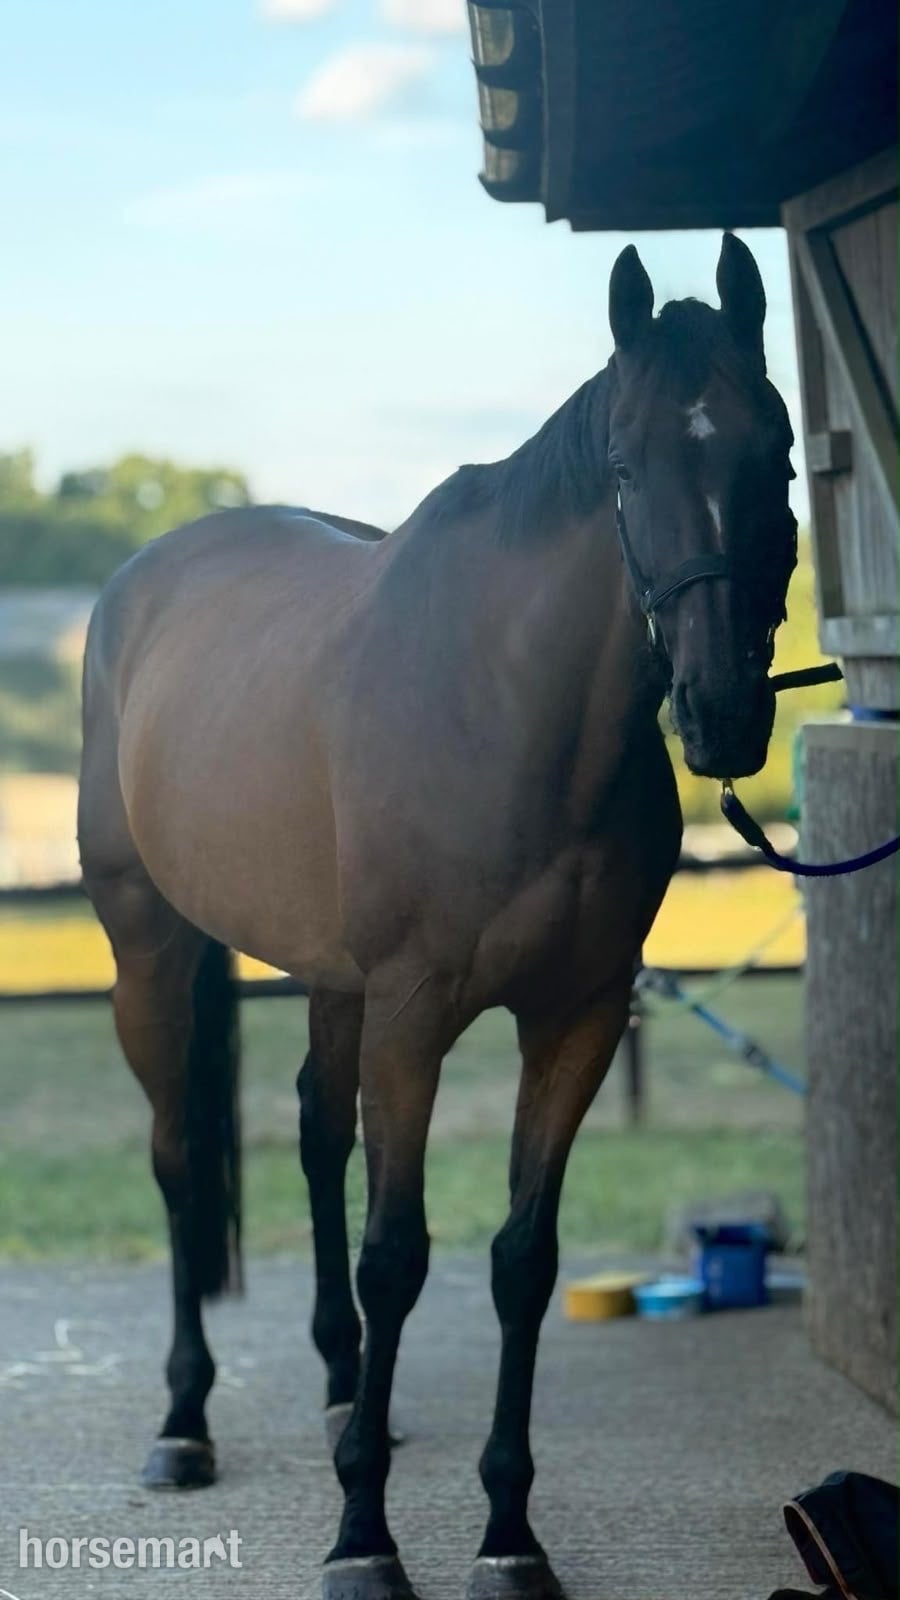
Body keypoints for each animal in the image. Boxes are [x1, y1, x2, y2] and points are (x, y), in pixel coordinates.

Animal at [77, 233, 798, 1600]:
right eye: (625, 469)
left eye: (776, 453)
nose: (724, 712)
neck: (513, 711)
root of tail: (140, 579)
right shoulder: (415, 1014)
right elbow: (398, 1253)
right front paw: (363, 1539)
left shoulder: (574, 1016)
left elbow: (521, 1258)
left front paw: (509, 1534)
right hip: (151, 948)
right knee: (178, 1159)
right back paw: (184, 1423)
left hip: (330, 979)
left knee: (315, 1132)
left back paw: (341, 1388)